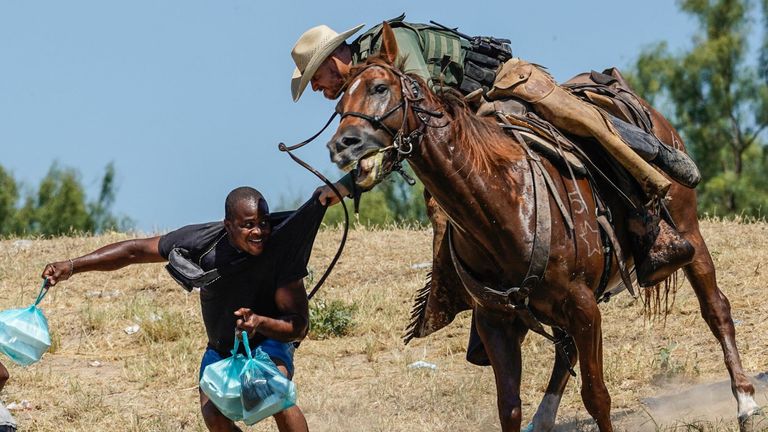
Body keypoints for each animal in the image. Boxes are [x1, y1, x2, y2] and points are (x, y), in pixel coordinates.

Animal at [328, 23, 760, 432]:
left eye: (380, 87)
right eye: (340, 102)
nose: (342, 145)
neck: (502, 204)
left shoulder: (584, 306)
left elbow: (597, 396)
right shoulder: (496, 321)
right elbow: (509, 407)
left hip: (688, 231)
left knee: (716, 308)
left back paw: (746, 402)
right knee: (564, 351)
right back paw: (545, 417)